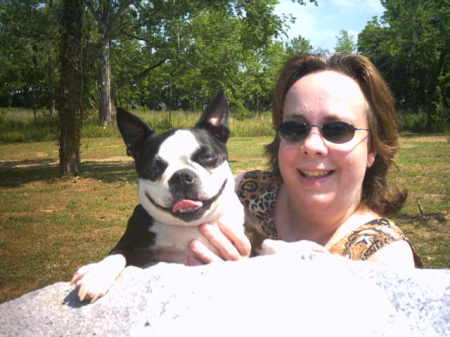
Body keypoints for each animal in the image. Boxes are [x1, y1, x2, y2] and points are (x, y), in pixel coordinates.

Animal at [72, 91, 251, 302]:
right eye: (154, 168)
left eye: (207, 158)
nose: (181, 176)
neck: (186, 227)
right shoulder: (130, 245)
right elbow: (116, 255)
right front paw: (96, 275)